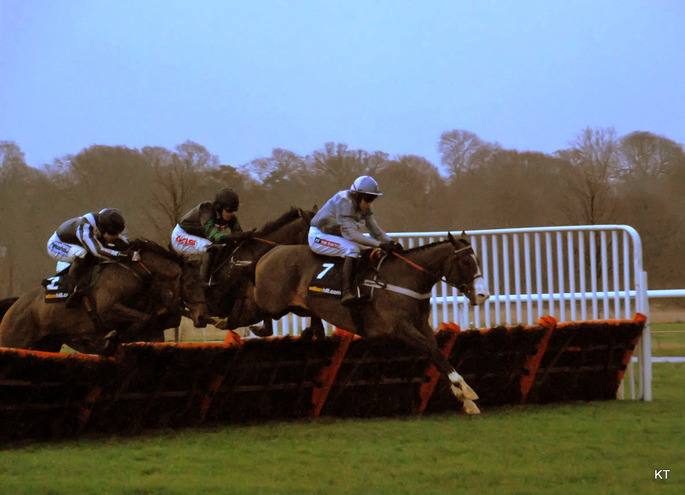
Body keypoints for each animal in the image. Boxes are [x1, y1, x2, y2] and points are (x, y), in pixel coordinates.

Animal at [0, 241, 184, 354]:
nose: (177, 316)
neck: (136, 272)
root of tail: (14, 305)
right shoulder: (108, 310)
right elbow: (140, 320)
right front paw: (111, 339)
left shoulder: (154, 330)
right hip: (12, 341)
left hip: (47, 344)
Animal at [254, 232, 488, 414]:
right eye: (466, 262)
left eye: (477, 260)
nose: (483, 295)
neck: (407, 278)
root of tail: (271, 253)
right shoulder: (400, 328)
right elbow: (434, 351)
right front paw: (465, 389)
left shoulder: (421, 324)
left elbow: (437, 352)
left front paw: (464, 399)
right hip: (272, 302)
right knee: (256, 307)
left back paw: (310, 331)